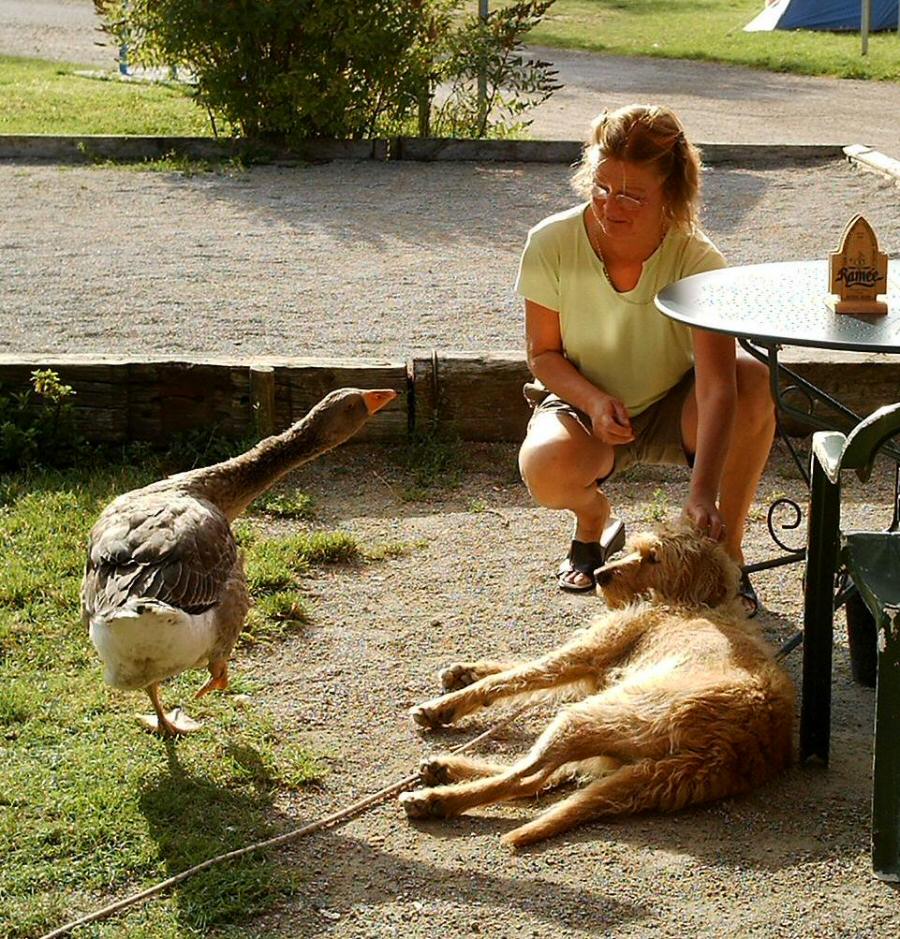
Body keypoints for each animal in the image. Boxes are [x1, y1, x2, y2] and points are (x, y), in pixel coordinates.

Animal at [400, 524, 796, 848]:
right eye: (635, 549)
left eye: (654, 557)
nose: (601, 574)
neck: (697, 601)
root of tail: (732, 751)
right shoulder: (594, 669)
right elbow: (517, 669)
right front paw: (463, 672)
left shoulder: (590, 654)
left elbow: (515, 677)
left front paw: (443, 707)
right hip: (610, 738)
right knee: (546, 775)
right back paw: (444, 770)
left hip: (594, 714)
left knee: (527, 780)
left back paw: (437, 798)